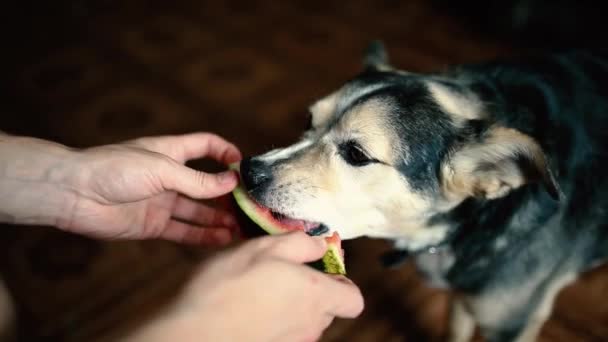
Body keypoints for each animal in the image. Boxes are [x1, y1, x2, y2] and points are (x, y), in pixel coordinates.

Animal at [239, 42, 608, 342]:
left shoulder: (511, 325)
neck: (469, 225)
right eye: (308, 120)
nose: (249, 171)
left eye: (356, 154)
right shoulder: (460, 302)